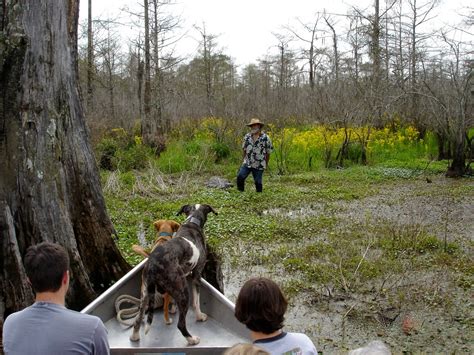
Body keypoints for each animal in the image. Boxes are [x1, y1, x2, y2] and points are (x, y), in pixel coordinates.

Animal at [130, 204, 218, 346]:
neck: (192, 222)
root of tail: (153, 265)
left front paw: (172, 308)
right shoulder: (197, 275)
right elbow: (197, 302)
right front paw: (200, 316)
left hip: (145, 294)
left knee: (138, 318)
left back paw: (135, 336)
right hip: (183, 292)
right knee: (181, 324)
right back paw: (192, 339)